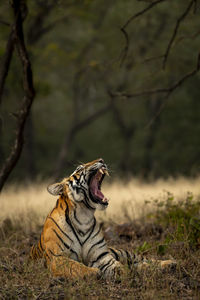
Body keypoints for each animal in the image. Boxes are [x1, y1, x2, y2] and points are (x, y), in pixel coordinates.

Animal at [30, 158, 175, 280]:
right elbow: (76, 267)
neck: (83, 216)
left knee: (143, 259)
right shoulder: (57, 258)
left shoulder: (102, 257)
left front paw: (125, 273)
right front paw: (94, 272)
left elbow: (119, 267)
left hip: (122, 252)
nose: (101, 160)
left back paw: (169, 263)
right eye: (79, 168)